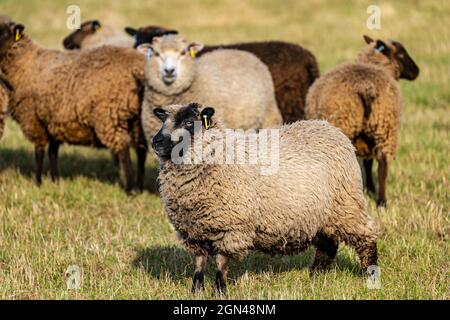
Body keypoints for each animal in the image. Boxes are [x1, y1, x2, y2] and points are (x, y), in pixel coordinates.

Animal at [0, 23, 147, 192]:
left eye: (2, 33)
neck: (25, 63)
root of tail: (137, 69)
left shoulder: (33, 119)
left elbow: (39, 152)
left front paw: (38, 183)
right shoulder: (54, 121)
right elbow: (53, 151)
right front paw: (55, 181)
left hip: (110, 115)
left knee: (123, 148)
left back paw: (130, 189)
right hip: (138, 118)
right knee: (141, 150)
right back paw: (139, 186)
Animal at [152, 102, 380, 296]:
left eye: (189, 123)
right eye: (164, 121)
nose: (156, 142)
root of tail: (329, 127)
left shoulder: (230, 226)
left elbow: (220, 263)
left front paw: (220, 291)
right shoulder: (193, 231)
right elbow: (199, 263)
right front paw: (196, 291)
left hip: (346, 204)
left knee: (366, 237)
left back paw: (370, 275)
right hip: (320, 213)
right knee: (328, 244)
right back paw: (316, 276)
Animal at [304, 35, 420, 208]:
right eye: (401, 54)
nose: (417, 72)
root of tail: (366, 88)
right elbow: (368, 163)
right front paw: (370, 189)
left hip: (359, 125)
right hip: (385, 126)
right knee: (383, 163)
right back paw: (381, 201)